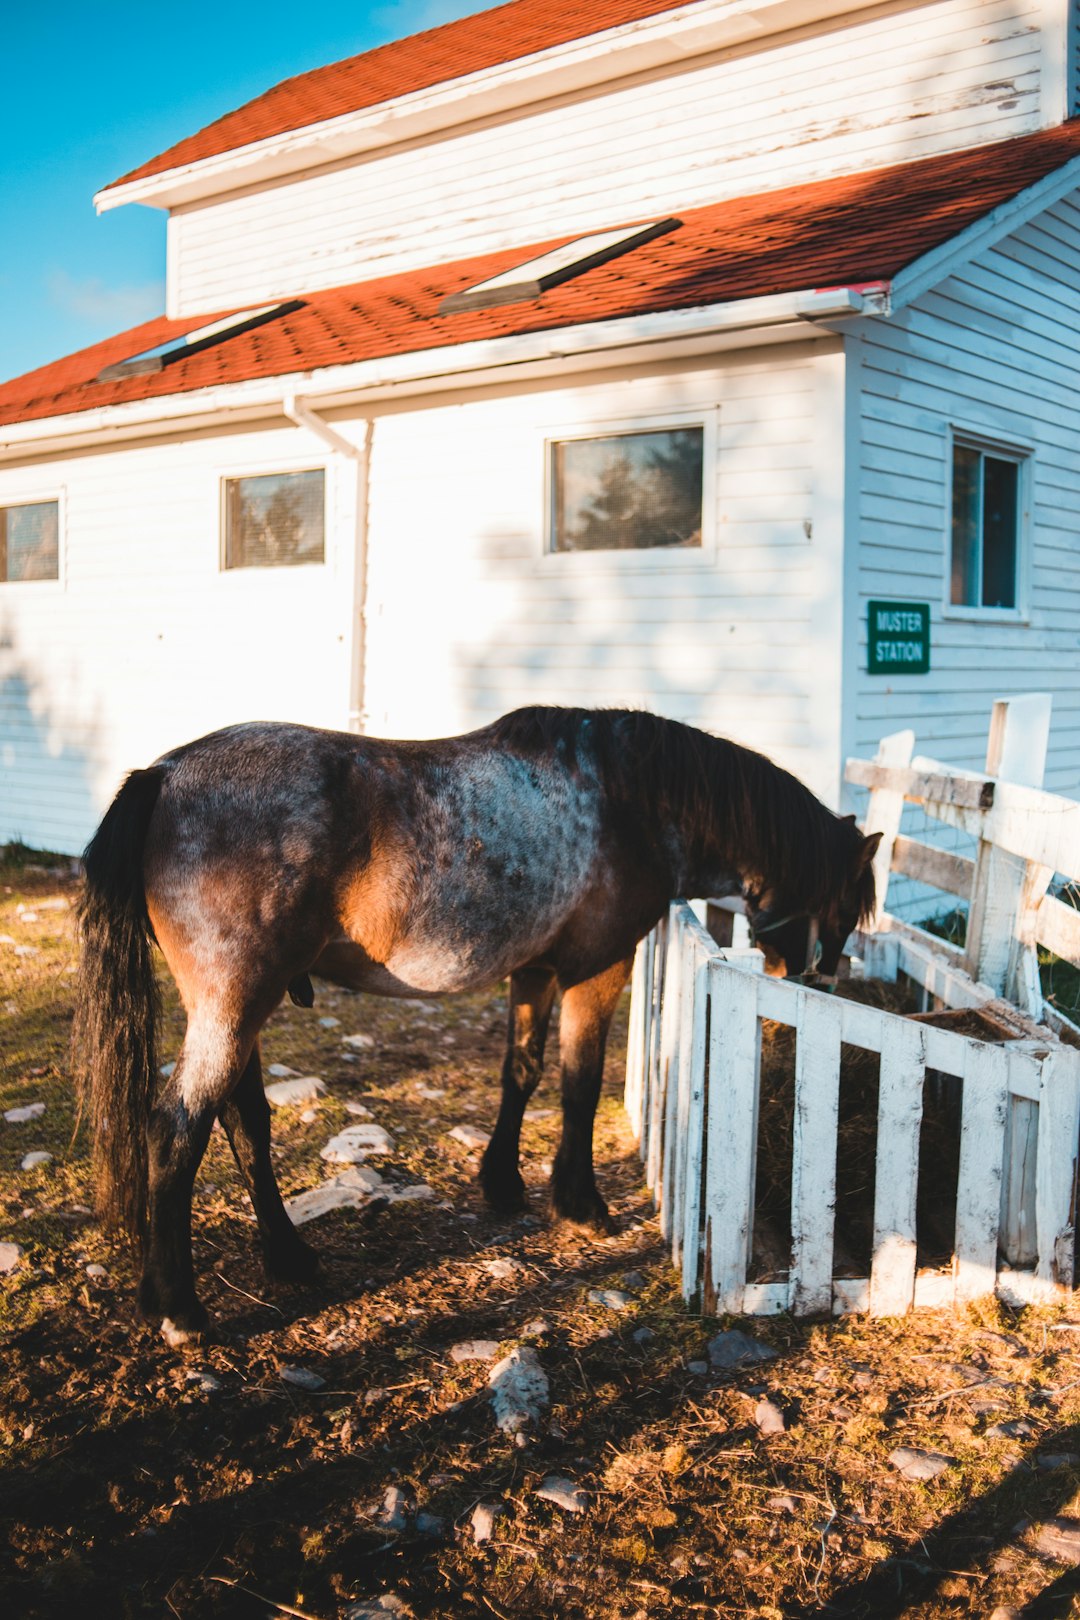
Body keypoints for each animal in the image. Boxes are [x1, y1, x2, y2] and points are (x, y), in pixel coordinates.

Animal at [74, 703, 880, 1347]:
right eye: (847, 906)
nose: (819, 981)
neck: (633, 802)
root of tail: (164, 774)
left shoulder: (534, 972)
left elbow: (520, 1071)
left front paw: (502, 1183)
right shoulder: (597, 969)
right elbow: (580, 1082)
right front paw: (581, 1205)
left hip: (235, 1011)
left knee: (245, 1124)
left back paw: (287, 1258)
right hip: (232, 1007)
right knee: (176, 1131)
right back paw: (179, 1310)